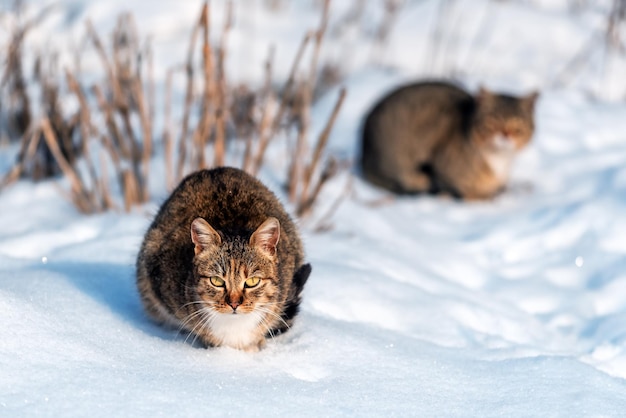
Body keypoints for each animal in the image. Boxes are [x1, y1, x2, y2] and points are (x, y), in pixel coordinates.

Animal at [358, 81, 540, 201]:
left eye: (517, 125)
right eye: (492, 122)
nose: (505, 134)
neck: (499, 160)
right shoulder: (442, 172)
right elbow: (461, 190)